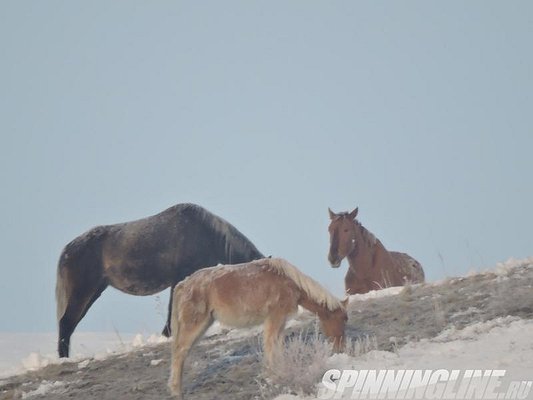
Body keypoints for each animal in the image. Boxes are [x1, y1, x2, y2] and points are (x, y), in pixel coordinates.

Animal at [55, 205, 262, 358]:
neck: (207, 235)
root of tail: (68, 249)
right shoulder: (179, 279)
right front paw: (168, 334)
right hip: (82, 291)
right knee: (66, 323)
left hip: (94, 291)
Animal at [168, 258, 348, 398]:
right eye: (343, 319)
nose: (341, 349)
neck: (291, 283)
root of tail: (183, 284)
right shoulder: (274, 318)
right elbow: (270, 345)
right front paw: (271, 375)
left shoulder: (281, 321)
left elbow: (277, 346)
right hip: (194, 324)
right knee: (179, 352)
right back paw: (177, 391)